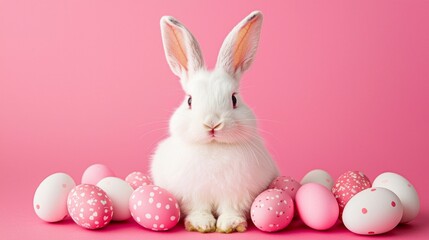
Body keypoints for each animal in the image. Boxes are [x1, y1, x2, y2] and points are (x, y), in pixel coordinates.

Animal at [150, 10, 278, 232]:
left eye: (234, 99)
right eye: (189, 100)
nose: (212, 124)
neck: (213, 147)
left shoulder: (236, 193)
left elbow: (230, 209)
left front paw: (230, 225)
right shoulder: (194, 194)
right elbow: (199, 209)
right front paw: (201, 224)